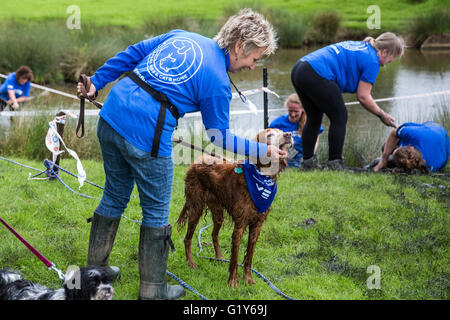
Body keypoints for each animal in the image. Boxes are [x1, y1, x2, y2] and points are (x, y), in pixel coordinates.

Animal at [176, 127, 292, 288]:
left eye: (281, 131)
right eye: (269, 135)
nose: (289, 135)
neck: (262, 177)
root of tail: (196, 161)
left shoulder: (257, 225)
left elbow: (249, 256)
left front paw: (248, 278)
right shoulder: (240, 224)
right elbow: (235, 258)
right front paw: (233, 282)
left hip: (218, 211)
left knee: (214, 234)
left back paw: (219, 257)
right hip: (196, 207)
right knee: (187, 239)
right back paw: (191, 264)